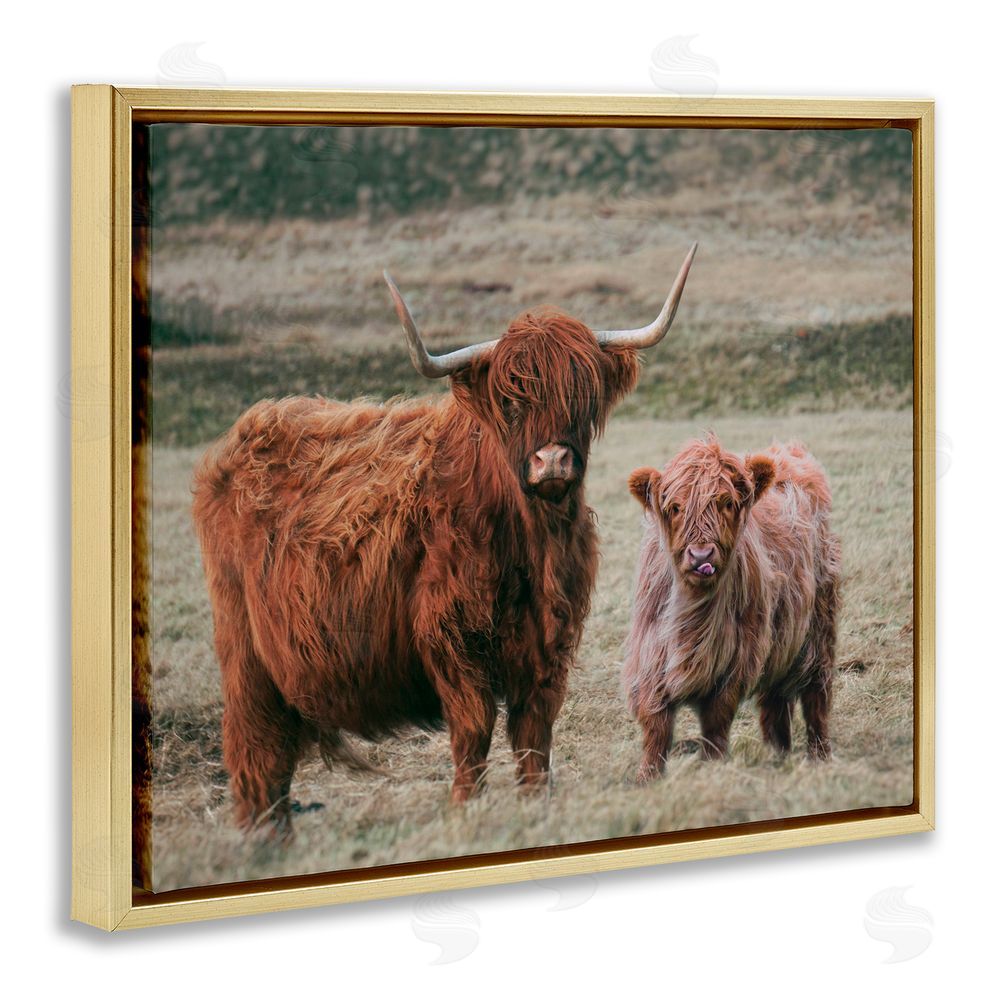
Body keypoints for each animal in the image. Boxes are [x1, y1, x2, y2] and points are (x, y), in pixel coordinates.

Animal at [192, 244, 698, 835]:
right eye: (511, 400)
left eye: (583, 394)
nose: (552, 461)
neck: (530, 543)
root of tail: (247, 431)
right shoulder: (451, 636)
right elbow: (474, 729)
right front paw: (463, 810)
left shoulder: (548, 643)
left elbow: (534, 736)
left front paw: (535, 806)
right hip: (244, 650)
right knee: (254, 750)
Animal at [622, 434, 840, 782]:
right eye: (675, 507)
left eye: (726, 503)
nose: (701, 556)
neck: (694, 614)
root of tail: (788, 451)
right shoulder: (650, 656)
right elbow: (656, 725)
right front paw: (648, 776)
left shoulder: (735, 661)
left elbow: (715, 722)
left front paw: (712, 766)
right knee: (775, 700)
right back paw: (778, 754)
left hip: (819, 626)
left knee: (816, 694)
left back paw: (819, 755)